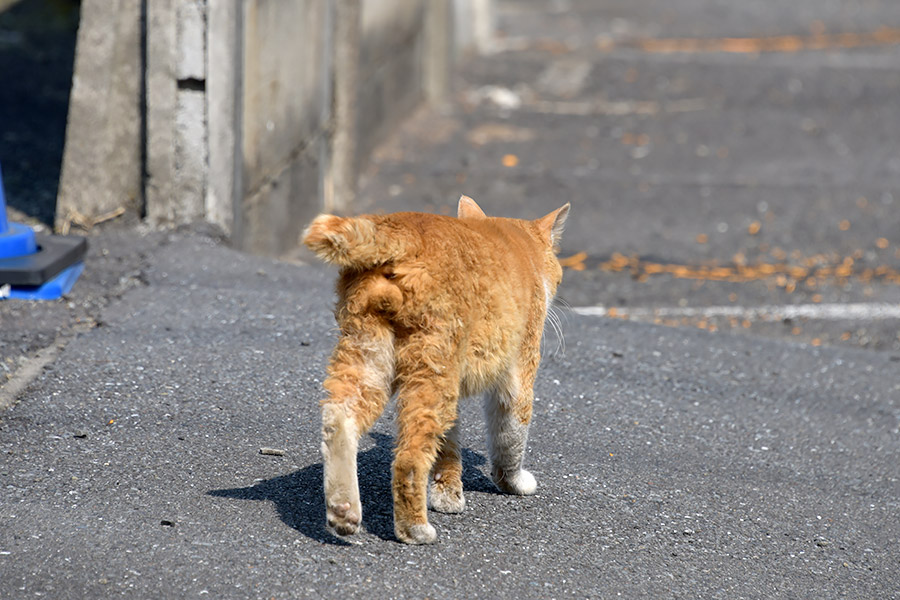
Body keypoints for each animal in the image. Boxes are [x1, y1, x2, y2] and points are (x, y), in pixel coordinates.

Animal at [304, 196, 568, 544]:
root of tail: (401, 229)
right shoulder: (518, 371)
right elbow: (511, 434)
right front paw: (513, 482)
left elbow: (448, 447)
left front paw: (448, 496)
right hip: (433, 367)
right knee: (409, 456)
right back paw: (414, 528)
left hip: (369, 355)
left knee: (338, 419)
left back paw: (343, 511)